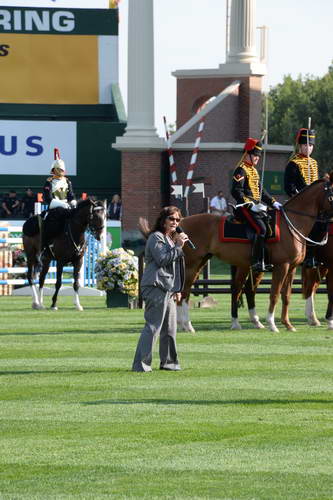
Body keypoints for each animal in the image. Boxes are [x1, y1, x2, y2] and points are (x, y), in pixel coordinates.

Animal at [178, 176, 332, 332]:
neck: (291, 224)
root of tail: (182, 221)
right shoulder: (282, 266)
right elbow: (275, 294)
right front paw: (272, 324)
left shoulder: (292, 268)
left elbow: (286, 295)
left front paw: (288, 324)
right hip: (192, 265)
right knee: (185, 292)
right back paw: (187, 325)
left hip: (205, 263)